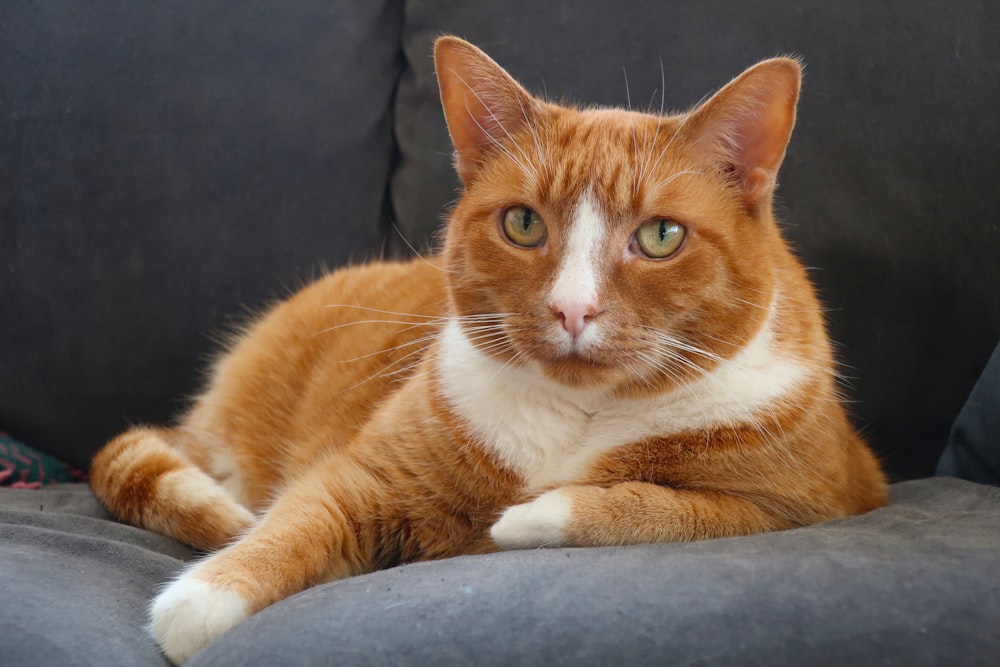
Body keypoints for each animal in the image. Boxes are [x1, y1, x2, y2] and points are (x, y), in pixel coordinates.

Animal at [88, 37, 884, 667]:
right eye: (523, 224)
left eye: (661, 236)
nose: (572, 308)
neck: (581, 415)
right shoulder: (371, 473)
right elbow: (301, 515)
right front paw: (203, 594)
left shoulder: (813, 501)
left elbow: (661, 507)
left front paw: (528, 517)